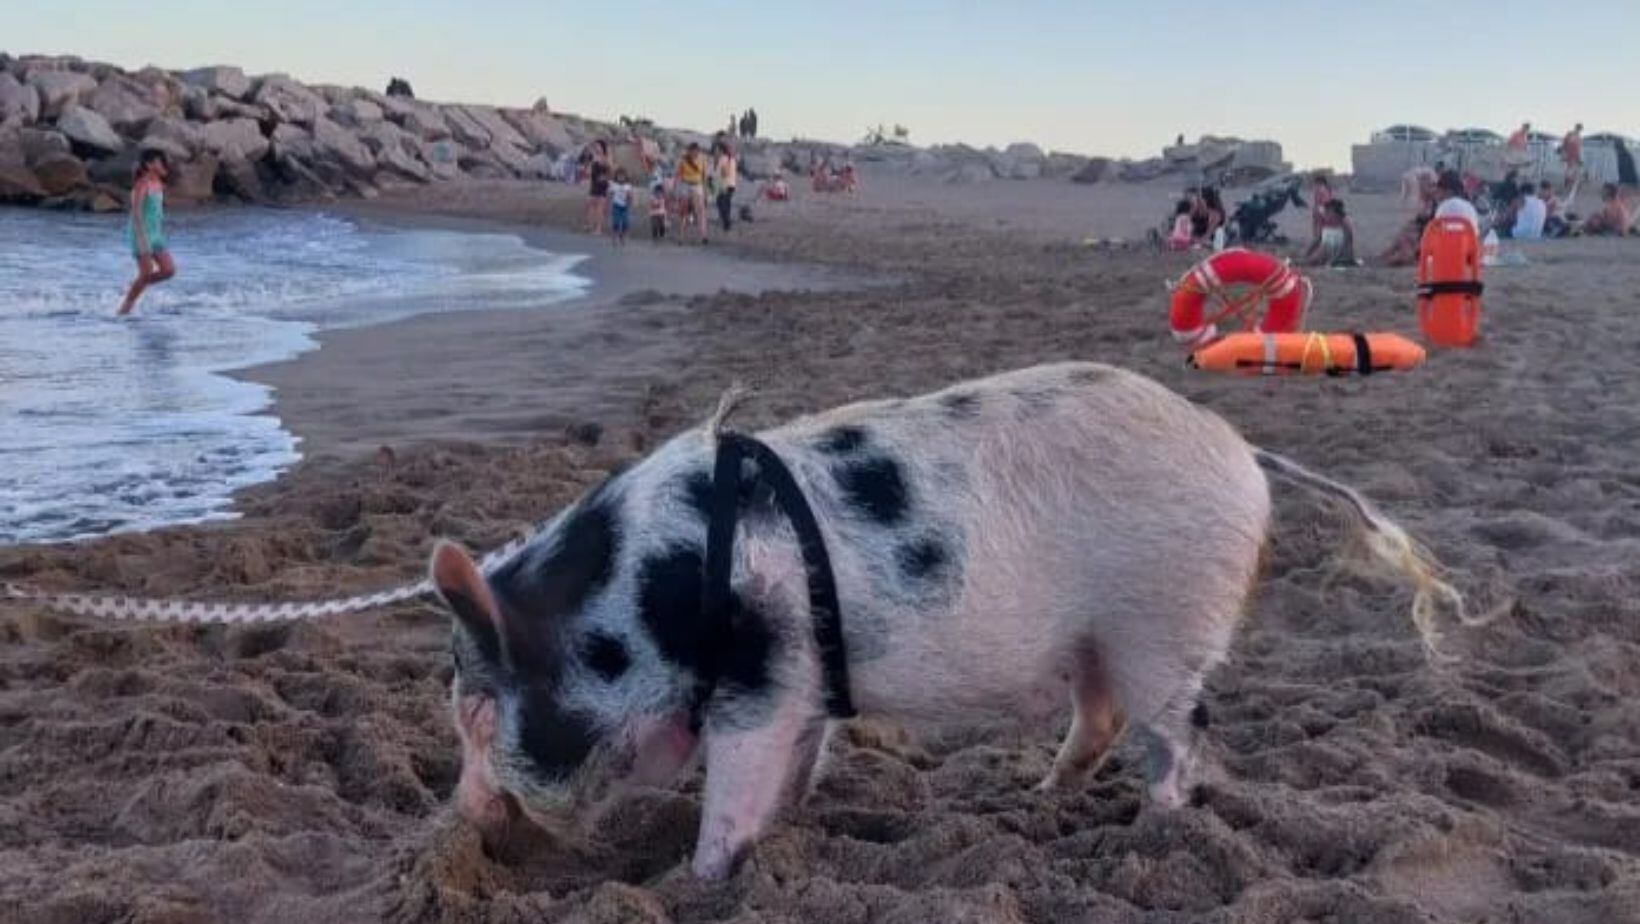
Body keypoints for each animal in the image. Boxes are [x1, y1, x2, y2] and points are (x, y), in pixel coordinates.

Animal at [426, 361, 1462, 879]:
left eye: (477, 712)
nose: (465, 820)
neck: (647, 596)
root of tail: (1243, 450)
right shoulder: (803, 682)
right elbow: (794, 770)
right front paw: (784, 837)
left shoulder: (760, 678)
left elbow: (733, 793)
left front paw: (703, 880)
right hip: (1098, 638)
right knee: (1100, 718)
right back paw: (1040, 799)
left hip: (1165, 625)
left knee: (1179, 735)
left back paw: (1152, 834)